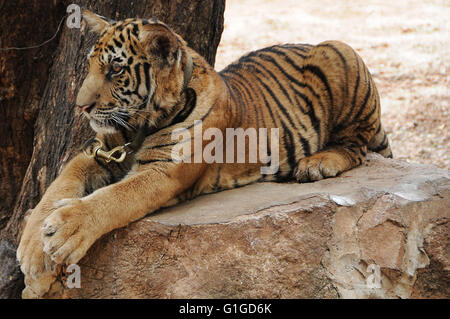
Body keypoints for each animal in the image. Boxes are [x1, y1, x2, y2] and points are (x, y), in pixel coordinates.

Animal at [16, 9, 390, 300]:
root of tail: (307, 43)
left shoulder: (163, 172)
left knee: (356, 146)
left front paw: (64, 230)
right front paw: (33, 248)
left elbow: (114, 198)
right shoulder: (98, 152)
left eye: (115, 70)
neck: (138, 126)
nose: (81, 107)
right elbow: (58, 187)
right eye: (92, 66)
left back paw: (316, 164)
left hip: (338, 51)